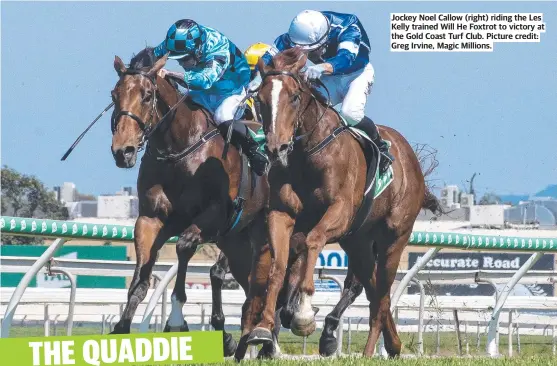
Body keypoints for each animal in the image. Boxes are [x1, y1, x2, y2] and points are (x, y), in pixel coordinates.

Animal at [241, 47, 440, 358]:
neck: (307, 154)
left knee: (382, 295)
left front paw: (304, 315)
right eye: (261, 100)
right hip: (358, 241)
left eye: (294, 97)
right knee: (372, 289)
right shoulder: (281, 213)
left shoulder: (340, 211)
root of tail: (410, 157)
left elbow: (312, 241)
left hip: (394, 238)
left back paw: (370, 351)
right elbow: (278, 265)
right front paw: (263, 329)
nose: (276, 147)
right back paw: (391, 344)